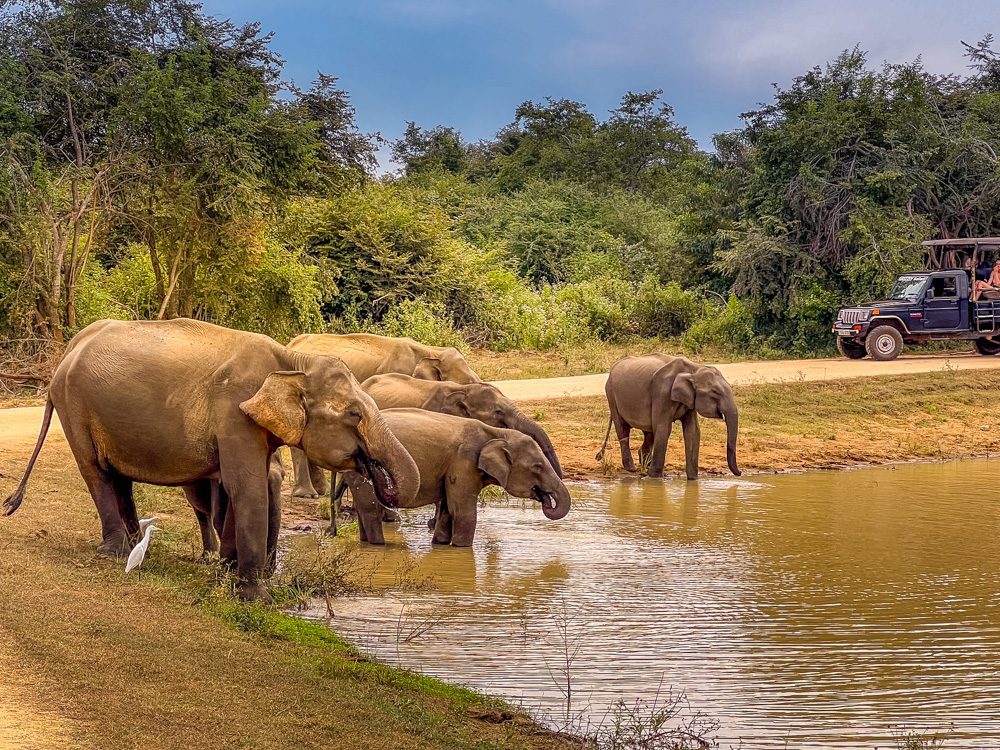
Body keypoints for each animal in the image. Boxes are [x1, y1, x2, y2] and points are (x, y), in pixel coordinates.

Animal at [2, 319, 419, 601]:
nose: (371, 467)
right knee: (96, 472)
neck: (292, 361)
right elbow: (245, 486)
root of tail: (70, 349)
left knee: (118, 476)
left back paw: (137, 545)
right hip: (74, 406)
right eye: (354, 415)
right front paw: (254, 597)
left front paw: (228, 574)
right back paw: (116, 551)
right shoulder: (233, 411)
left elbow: (242, 486)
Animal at [342, 408, 571, 547]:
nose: (545, 499)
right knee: (371, 508)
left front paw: (441, 544)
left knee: (363, 508)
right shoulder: (463, 463)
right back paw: (378, 545)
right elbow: (463, 512)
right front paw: (461, 548)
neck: (495, 433)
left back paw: (366, 543)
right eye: (537, 467)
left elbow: (447, 510)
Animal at [596, 354, 741, 480]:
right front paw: (654, 478)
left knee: (649, 433)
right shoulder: (662, 393)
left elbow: (693, 431)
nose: (739, 473)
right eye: (715, 392)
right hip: (611, 394)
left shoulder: (689, 400)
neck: (693, 369)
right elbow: (664, 428)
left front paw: (693, 479)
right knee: (623, 429)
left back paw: (644, 465)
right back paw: (631, 468)